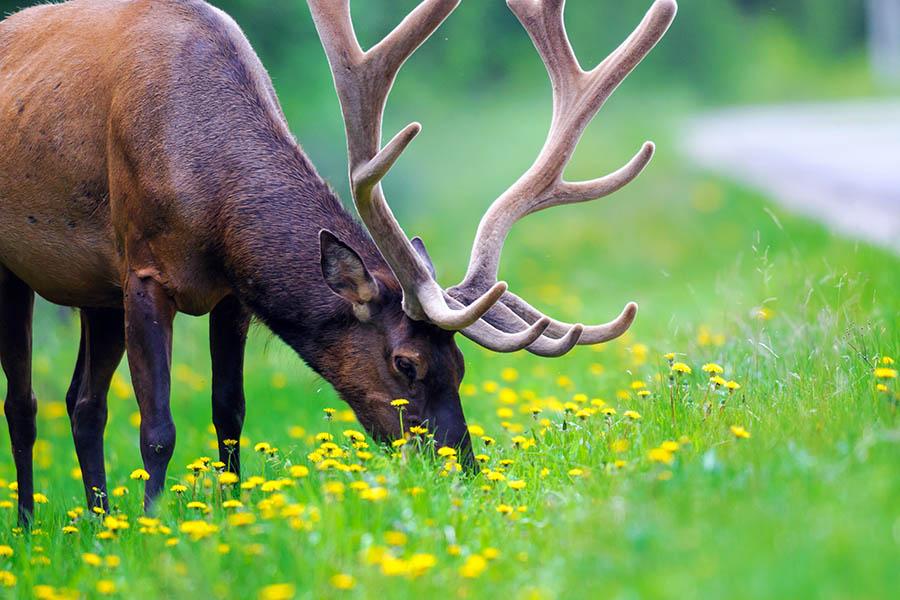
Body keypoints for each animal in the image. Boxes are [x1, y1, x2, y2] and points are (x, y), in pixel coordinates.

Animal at [0, 0, 676, 522]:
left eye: (460, 365)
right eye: (405, 364)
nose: (460, 470)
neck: (210, 195)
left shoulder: (230, 294)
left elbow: (229, 412)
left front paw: (229, 512)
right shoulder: (142, 272)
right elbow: (158, 428)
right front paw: (155, 525)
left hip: (95, 291)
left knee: (82, 403)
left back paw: (98, 523)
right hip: (21, 272)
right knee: (26, 403)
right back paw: (33, 526)